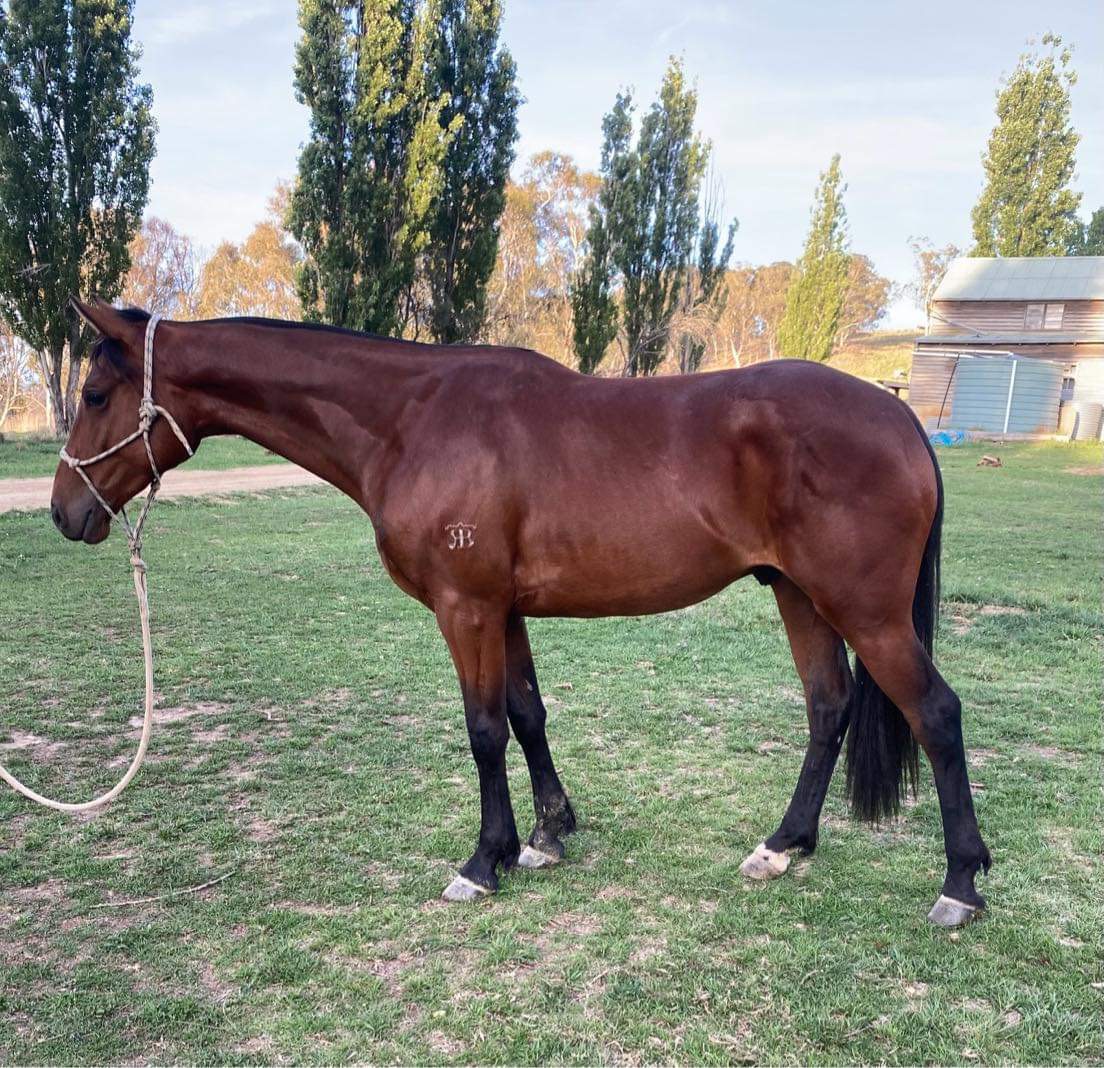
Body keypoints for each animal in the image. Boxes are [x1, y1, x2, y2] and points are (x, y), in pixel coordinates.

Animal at [50, 298, 991, 927]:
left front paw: (484, 859)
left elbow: (483, 730)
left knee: (935, 714)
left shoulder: (464, 607)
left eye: (95, 394)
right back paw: (783, 845)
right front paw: (546, 836)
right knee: (829, 708)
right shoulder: (502, 609)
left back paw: (960, 886)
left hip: (865, 610)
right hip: (800, 595)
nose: (66, 512)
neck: (412, 419)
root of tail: (899, 415)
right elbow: (528, 713)